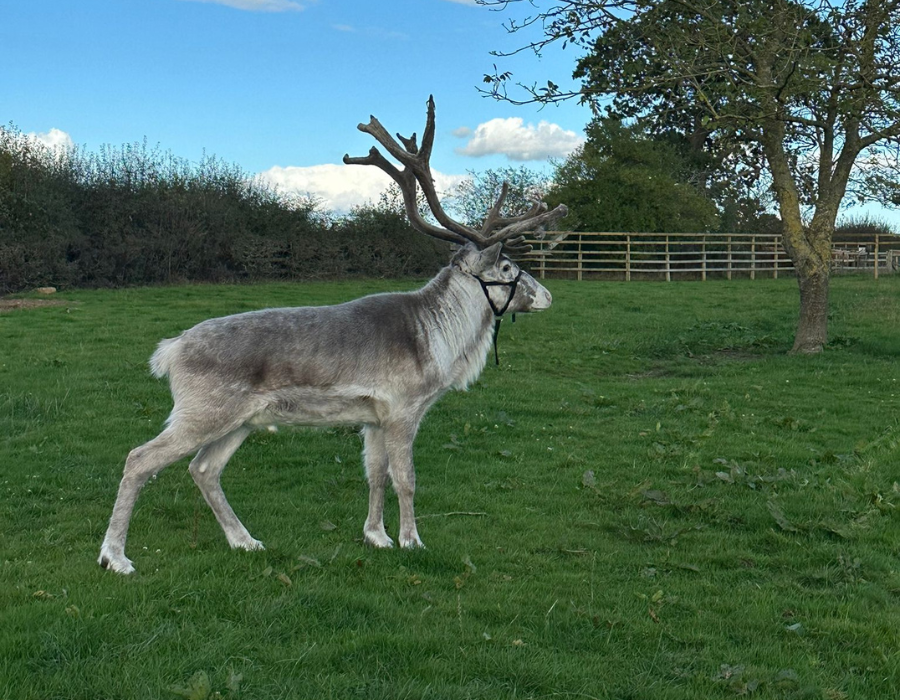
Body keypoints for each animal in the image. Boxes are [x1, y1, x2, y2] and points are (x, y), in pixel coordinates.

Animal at [98, 96, 568, 574]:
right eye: (507, 267)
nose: (548, 295)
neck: (440, 343)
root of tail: (168, 351)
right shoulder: (403, 409)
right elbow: (406, 479)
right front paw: (412, 541)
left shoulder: (373, 417)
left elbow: (375, 475)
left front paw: (376, 536)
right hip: (201, 410)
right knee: (140, 458)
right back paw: (115, 557)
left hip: (240, 420)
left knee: (203, 469)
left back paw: (245, 541)